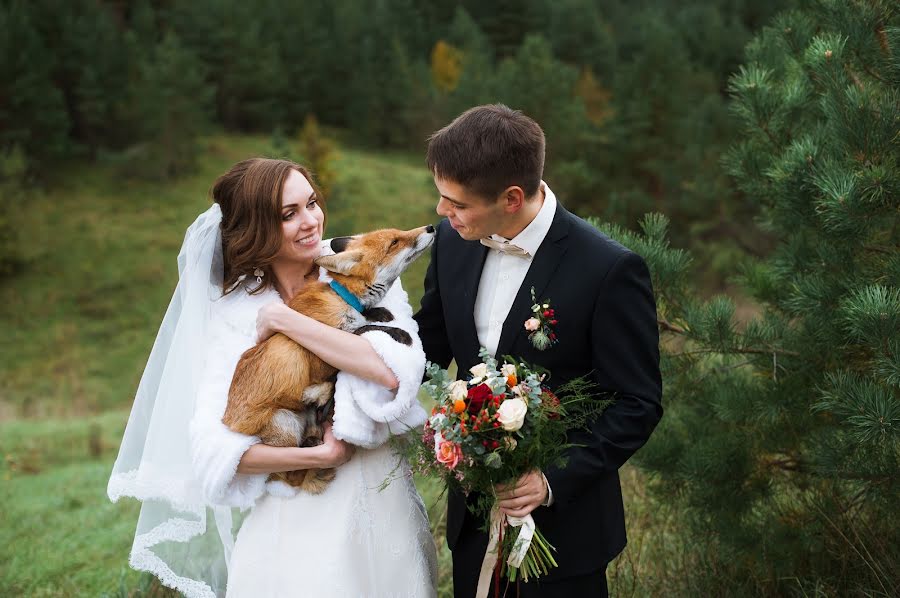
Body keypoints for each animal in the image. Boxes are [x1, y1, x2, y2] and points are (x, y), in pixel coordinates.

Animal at [224, 227, 436, 494]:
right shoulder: (318, 352)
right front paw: (399, 333)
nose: (431, 228)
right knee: (292, 474)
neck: (343, 298)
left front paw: (377, 312)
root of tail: (230, 422)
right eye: (394, 242)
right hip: (286, 424)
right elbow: (361, 330)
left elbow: (364, 320)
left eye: (397, 234)